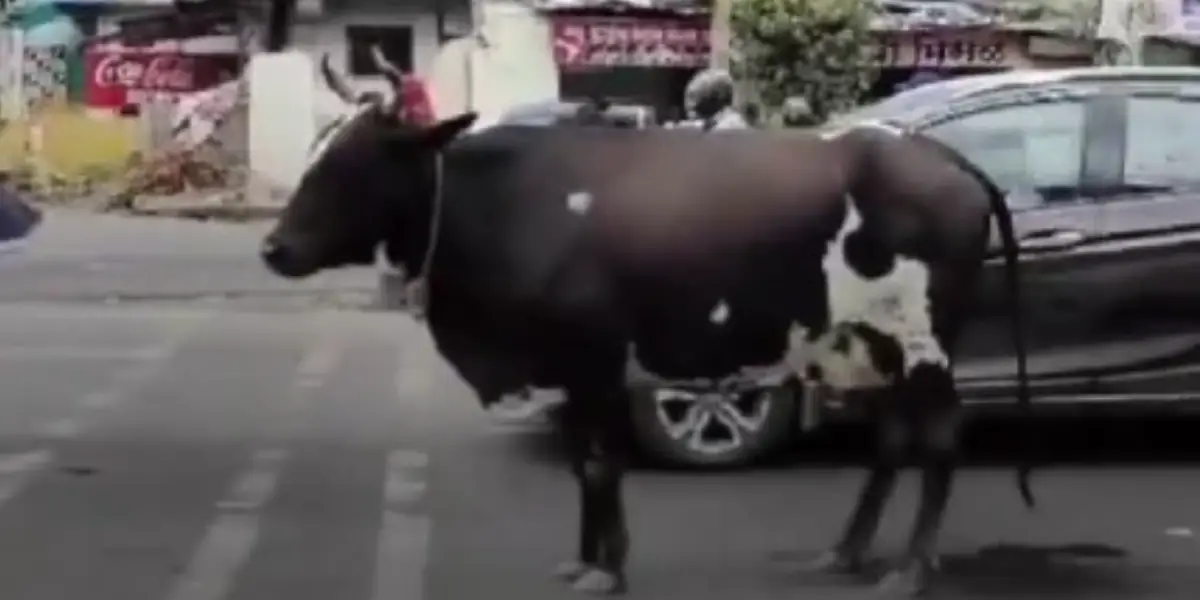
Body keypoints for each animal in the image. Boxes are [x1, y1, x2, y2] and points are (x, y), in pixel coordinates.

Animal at [260, 105, 1032, 597]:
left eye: (352, 165)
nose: (273, 248)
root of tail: (941, 156)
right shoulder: (566, 372)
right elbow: (581, 466)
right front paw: (583, 562)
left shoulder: (595, 362)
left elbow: (603, 467)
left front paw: (609, 570)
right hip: (874, 343)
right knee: (894, 439)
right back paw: (846, 553)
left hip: (924, 340)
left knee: (939, 438)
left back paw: (914, 567)